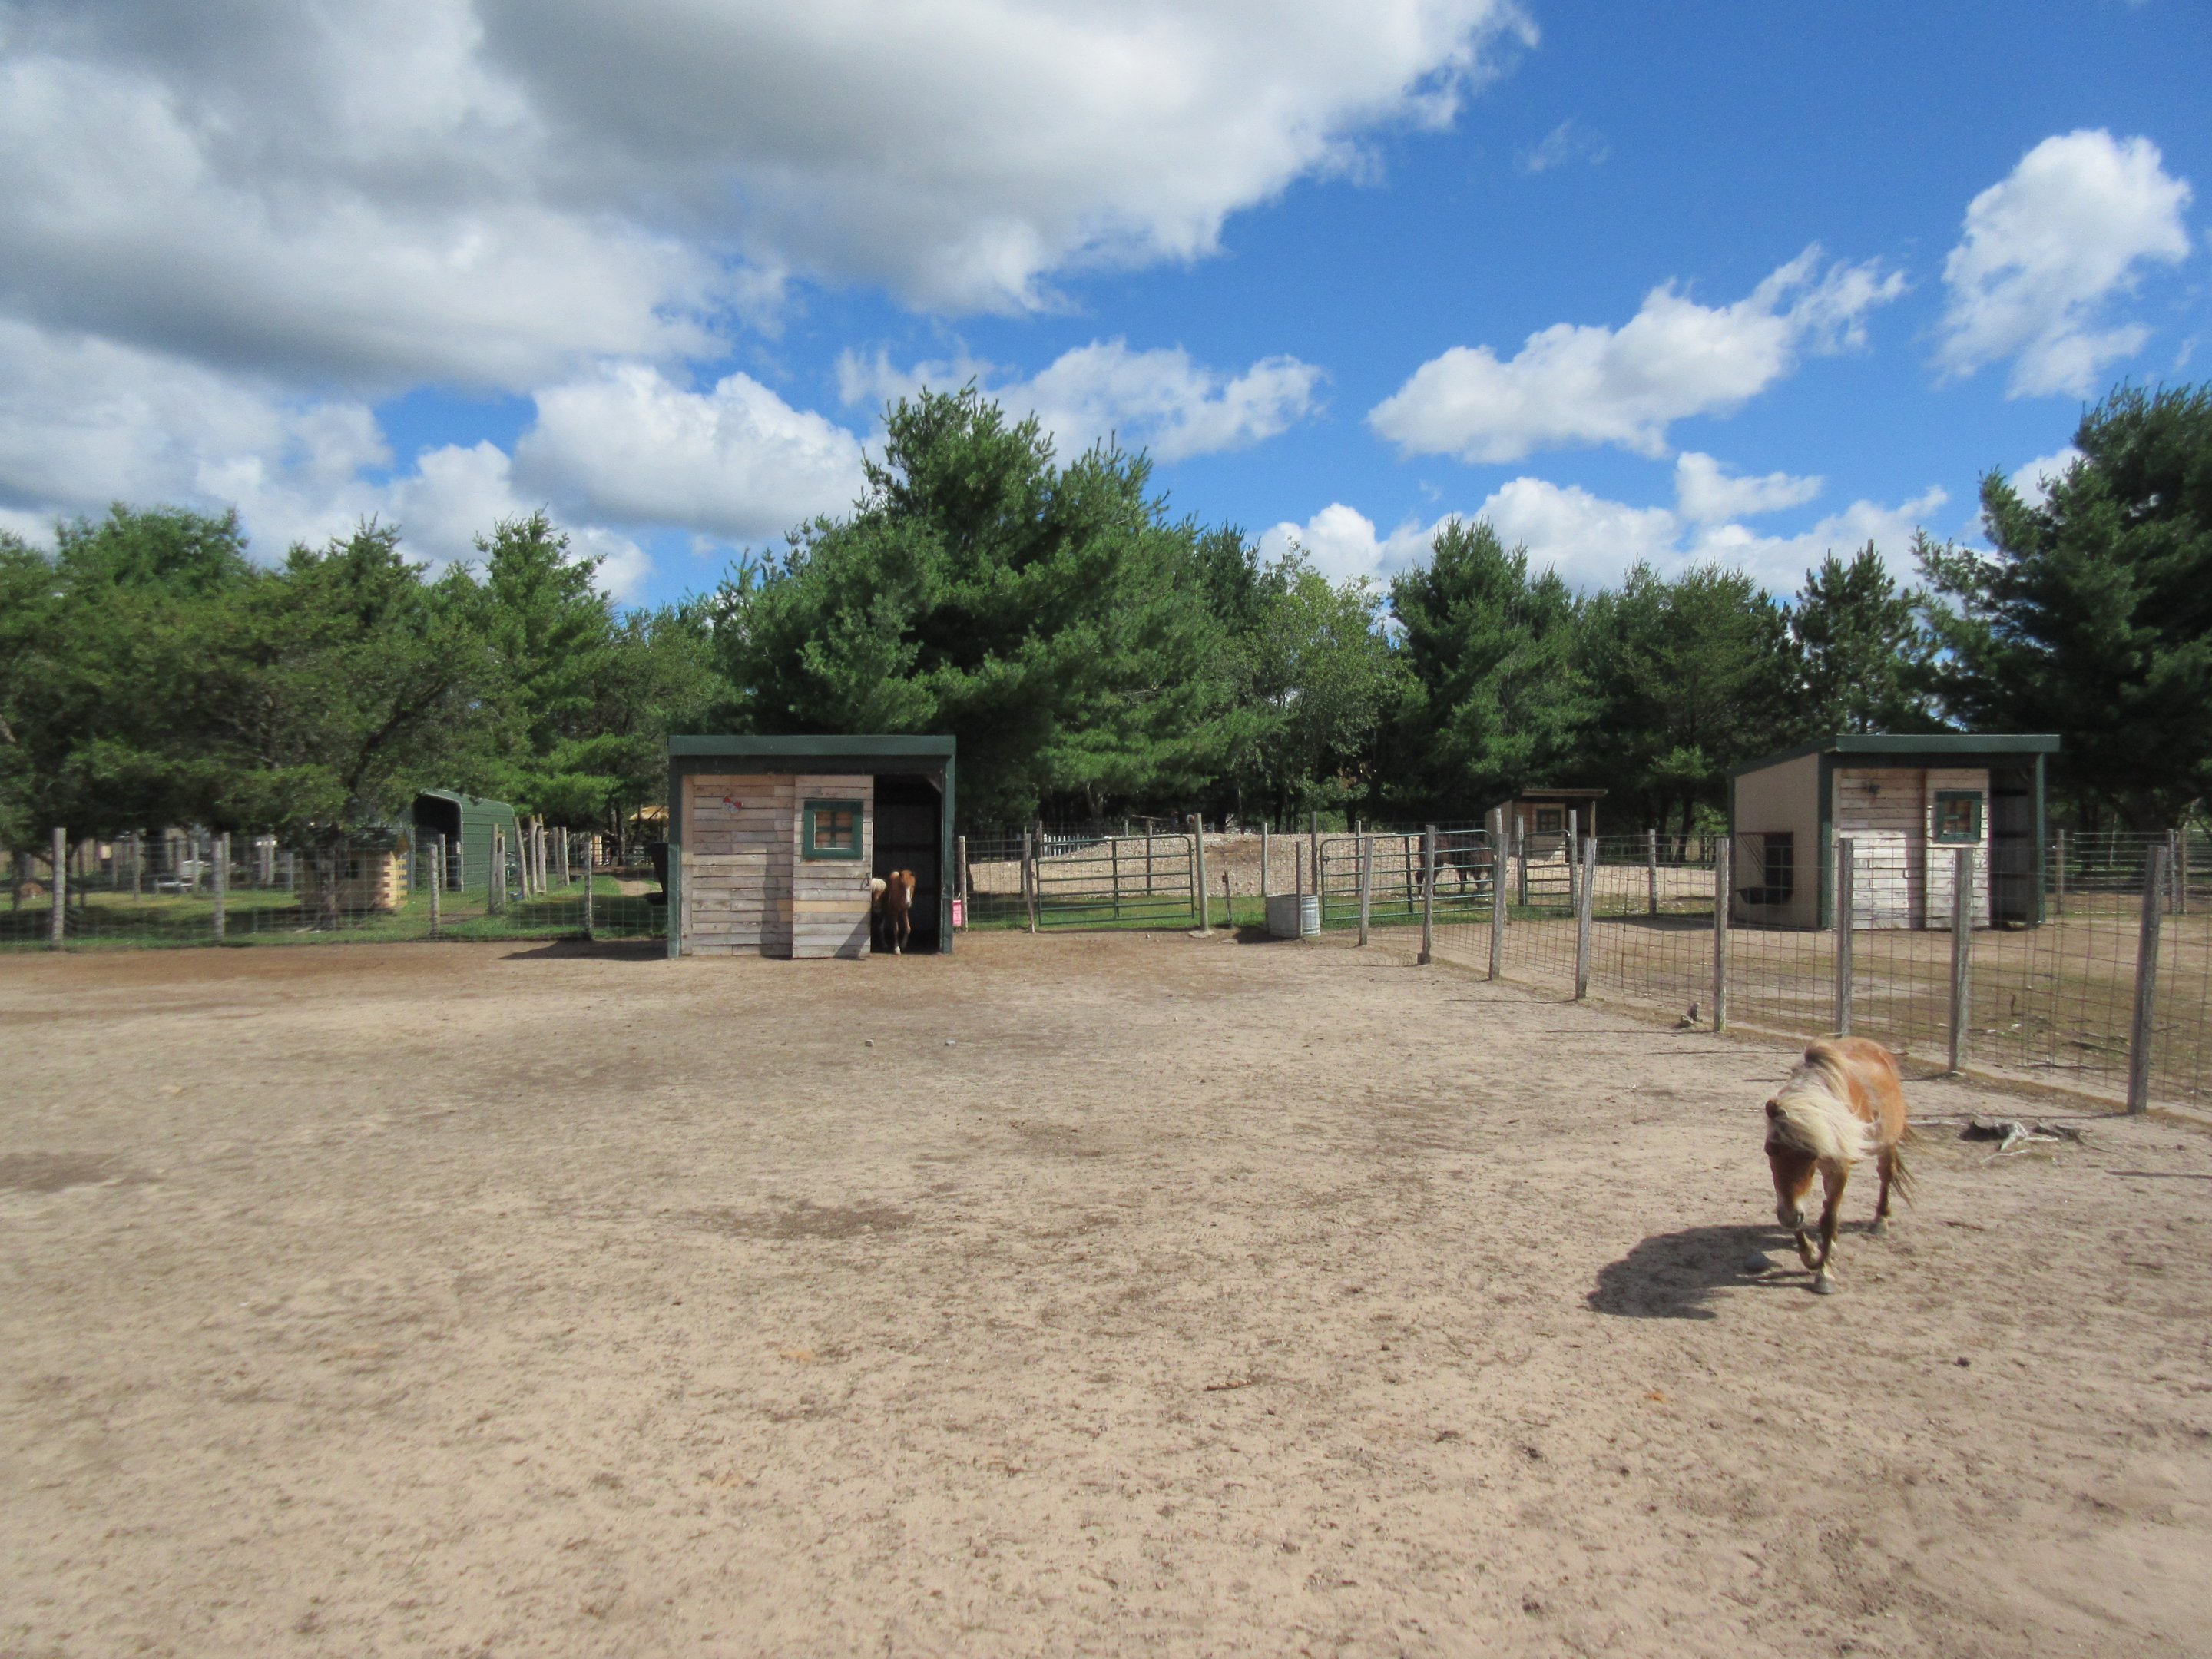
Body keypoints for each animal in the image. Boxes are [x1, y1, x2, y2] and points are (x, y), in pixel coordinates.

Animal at [1762, 1037, 1914, 1295]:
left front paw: (1824, 1275)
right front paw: (1811, 1254)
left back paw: (1880, 1221)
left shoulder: (1839, 1169)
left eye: (1811, 1155)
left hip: (1887, 1145)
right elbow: (1804, 1216)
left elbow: (1829, 1220)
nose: (1790, 1217)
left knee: (1886, 1176)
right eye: (1770, 1150)